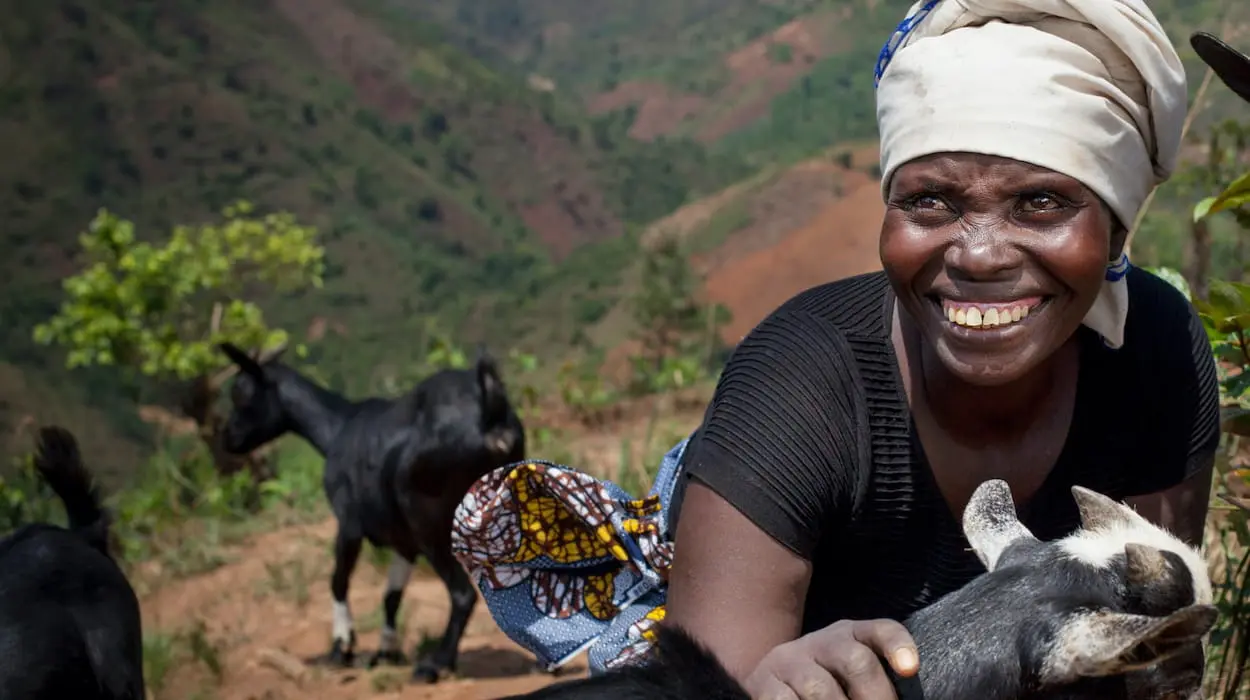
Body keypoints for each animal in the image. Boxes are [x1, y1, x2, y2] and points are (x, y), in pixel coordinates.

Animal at [217, 345, 525, 685]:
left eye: (241, 394)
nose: (227, 438)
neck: (337, 427)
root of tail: (489, 411)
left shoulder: (349, 524)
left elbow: (338, 581)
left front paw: (341, 647)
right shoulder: (404, 542)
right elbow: (391, 597)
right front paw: (385, 652)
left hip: (432, 520)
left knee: (462, 594)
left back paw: (434, 665)